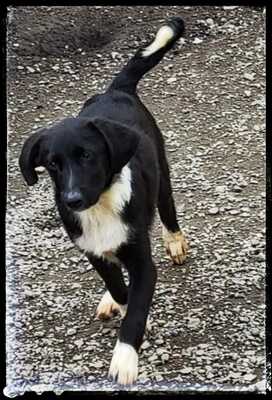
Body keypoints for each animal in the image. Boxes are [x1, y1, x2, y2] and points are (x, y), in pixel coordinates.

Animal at [19, 17, 189, 386]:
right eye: (52, 163)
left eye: (88, 155)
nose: (72, 199)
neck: (101, 208)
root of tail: (116, 90)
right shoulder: (93, 252)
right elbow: (121, 290)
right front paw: (119, 302)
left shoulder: (142, 261)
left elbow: (137, 307)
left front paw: (125, 359)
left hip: (162, 176)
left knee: (168, 210)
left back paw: (175, 240)